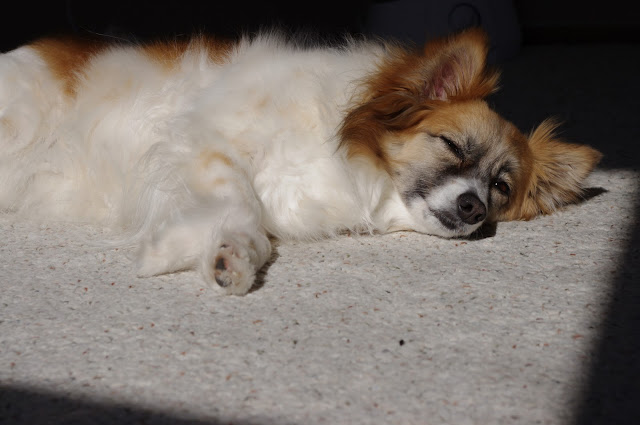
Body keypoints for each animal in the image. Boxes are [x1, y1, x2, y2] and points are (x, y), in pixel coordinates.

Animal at [0, 29, 601, 295]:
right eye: (452, 145)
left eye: (500, 187)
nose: (474, 207)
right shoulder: (202, 139)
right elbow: (242, 204)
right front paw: (176, 253)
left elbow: (251, 229)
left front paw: (222, 256)